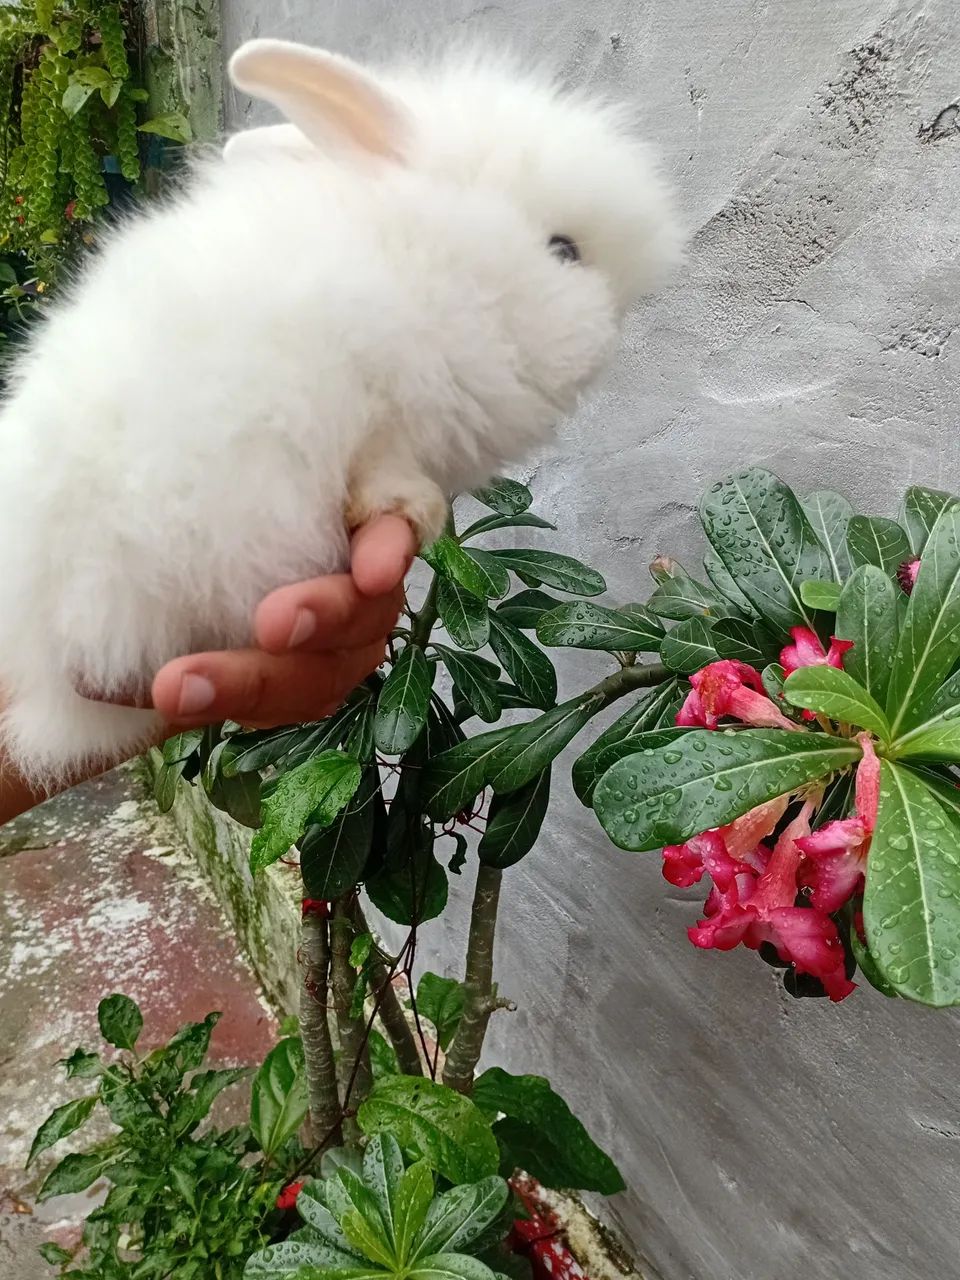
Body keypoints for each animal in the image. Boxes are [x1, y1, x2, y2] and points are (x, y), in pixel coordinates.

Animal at [0, 38, 682, 785]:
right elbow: (380, 470)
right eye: (563, 250)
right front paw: (416, 510)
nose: (609, 334)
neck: (430, 264)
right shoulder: (380, 414)